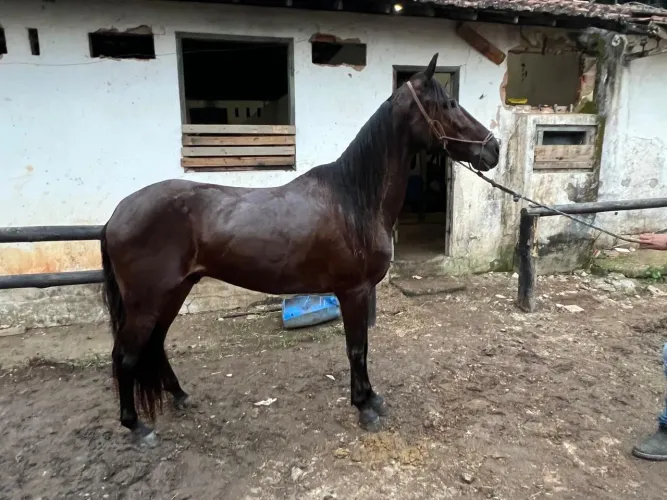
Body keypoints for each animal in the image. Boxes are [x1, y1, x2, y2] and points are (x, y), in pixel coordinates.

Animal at [100, 53, 500, 446]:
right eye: (448, 104)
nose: (493, 148)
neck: (354, 199)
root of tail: (117, 214)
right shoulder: (353, 292)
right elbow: (357, 349)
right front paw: (364, 407)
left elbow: (363, 347)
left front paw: (372, 398)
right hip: (146, 302)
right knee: (125, 355)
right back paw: (136, 427)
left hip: (175, 292)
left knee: (155, 344)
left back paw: (180, 397)